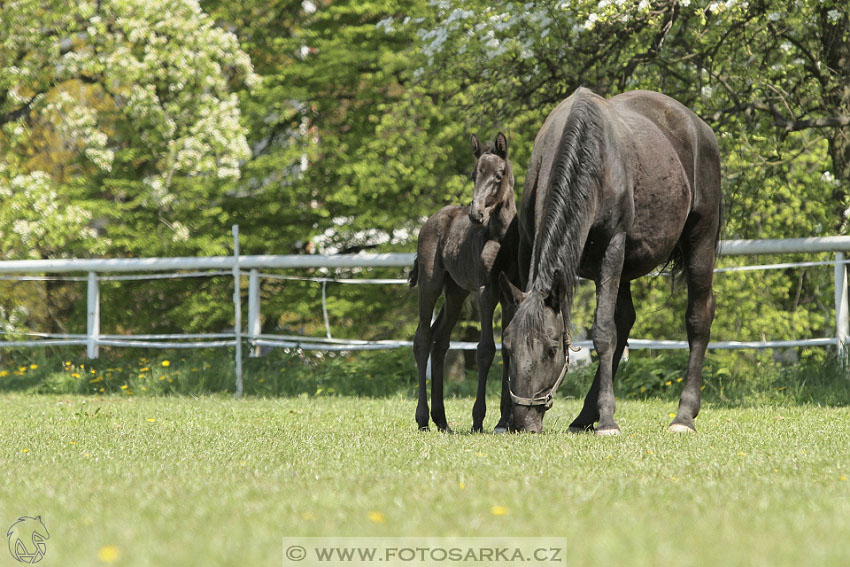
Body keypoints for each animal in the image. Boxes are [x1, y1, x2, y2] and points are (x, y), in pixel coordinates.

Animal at [410, 133, 520, 432]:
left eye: (499, 174)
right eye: (474, 174)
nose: (476, 215)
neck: (503, 237)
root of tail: (431, 220)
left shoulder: (512, 294)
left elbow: (509, 347)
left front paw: (505, 420)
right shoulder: (486, 291)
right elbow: (485, 349)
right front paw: (478, 419)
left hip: (455, 293)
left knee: (440, 340)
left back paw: (442, 420)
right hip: (430, 284)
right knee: (422, 339)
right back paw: (423, 419)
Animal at [500, 89, 720, 434]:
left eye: (552, 349)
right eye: (508, 347)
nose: (523, 422)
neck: (593, 159)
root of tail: (699, 127)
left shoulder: (612, 247)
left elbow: (603, 332)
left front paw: (607, 422)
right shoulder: (526, 244)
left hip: (701, 240)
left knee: (698, 319)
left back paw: (683, 416)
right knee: (626, 320)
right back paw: (583, 417)